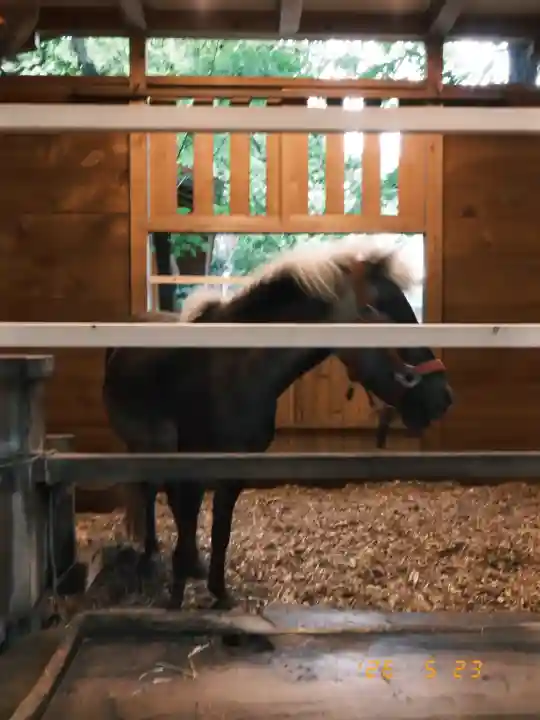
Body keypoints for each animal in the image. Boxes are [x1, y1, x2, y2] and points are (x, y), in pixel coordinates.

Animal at [103, 237, 453, 609]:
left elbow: (220, 530)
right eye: (387, 312)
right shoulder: (191, 468)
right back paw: (148, 556)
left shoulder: (235, 470)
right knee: (149, 491)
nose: (443, 396)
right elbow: (185, 528)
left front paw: (218, 592)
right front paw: (175, 602)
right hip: (145, 447)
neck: (230, 371)